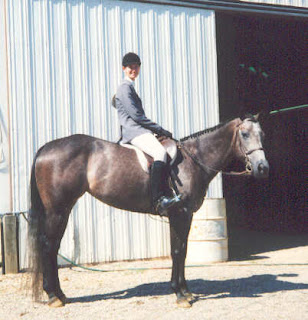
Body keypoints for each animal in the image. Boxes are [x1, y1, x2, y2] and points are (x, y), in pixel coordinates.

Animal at [29, 114, 270, 308]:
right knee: (48, 245)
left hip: (63, 209)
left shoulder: (185, 215)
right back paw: (54, 296)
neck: (193, 160)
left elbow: (182, 250)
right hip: (58, 210)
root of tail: (45, 148)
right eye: (245, 134)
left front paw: (185, 292)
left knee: (52, 246)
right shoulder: (180, 214)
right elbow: (177, 251)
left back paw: (59, 294)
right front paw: (180, 295)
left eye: (262, 134)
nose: (262, 168)